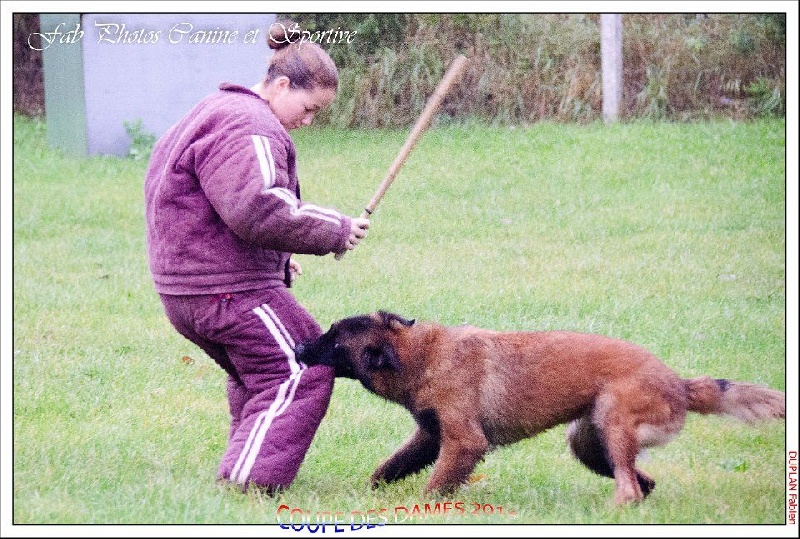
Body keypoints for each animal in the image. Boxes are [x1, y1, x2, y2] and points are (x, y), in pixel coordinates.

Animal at [292, 312, 780, 506]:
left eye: (333, 340)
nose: (297, 347)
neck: (421, 356)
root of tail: (677, 382)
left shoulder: (464, 443)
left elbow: (434, 486)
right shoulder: (431, 437)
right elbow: (389, 468)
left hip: (613, 426)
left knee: (630, 486)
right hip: (589, 444)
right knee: (644, 483)